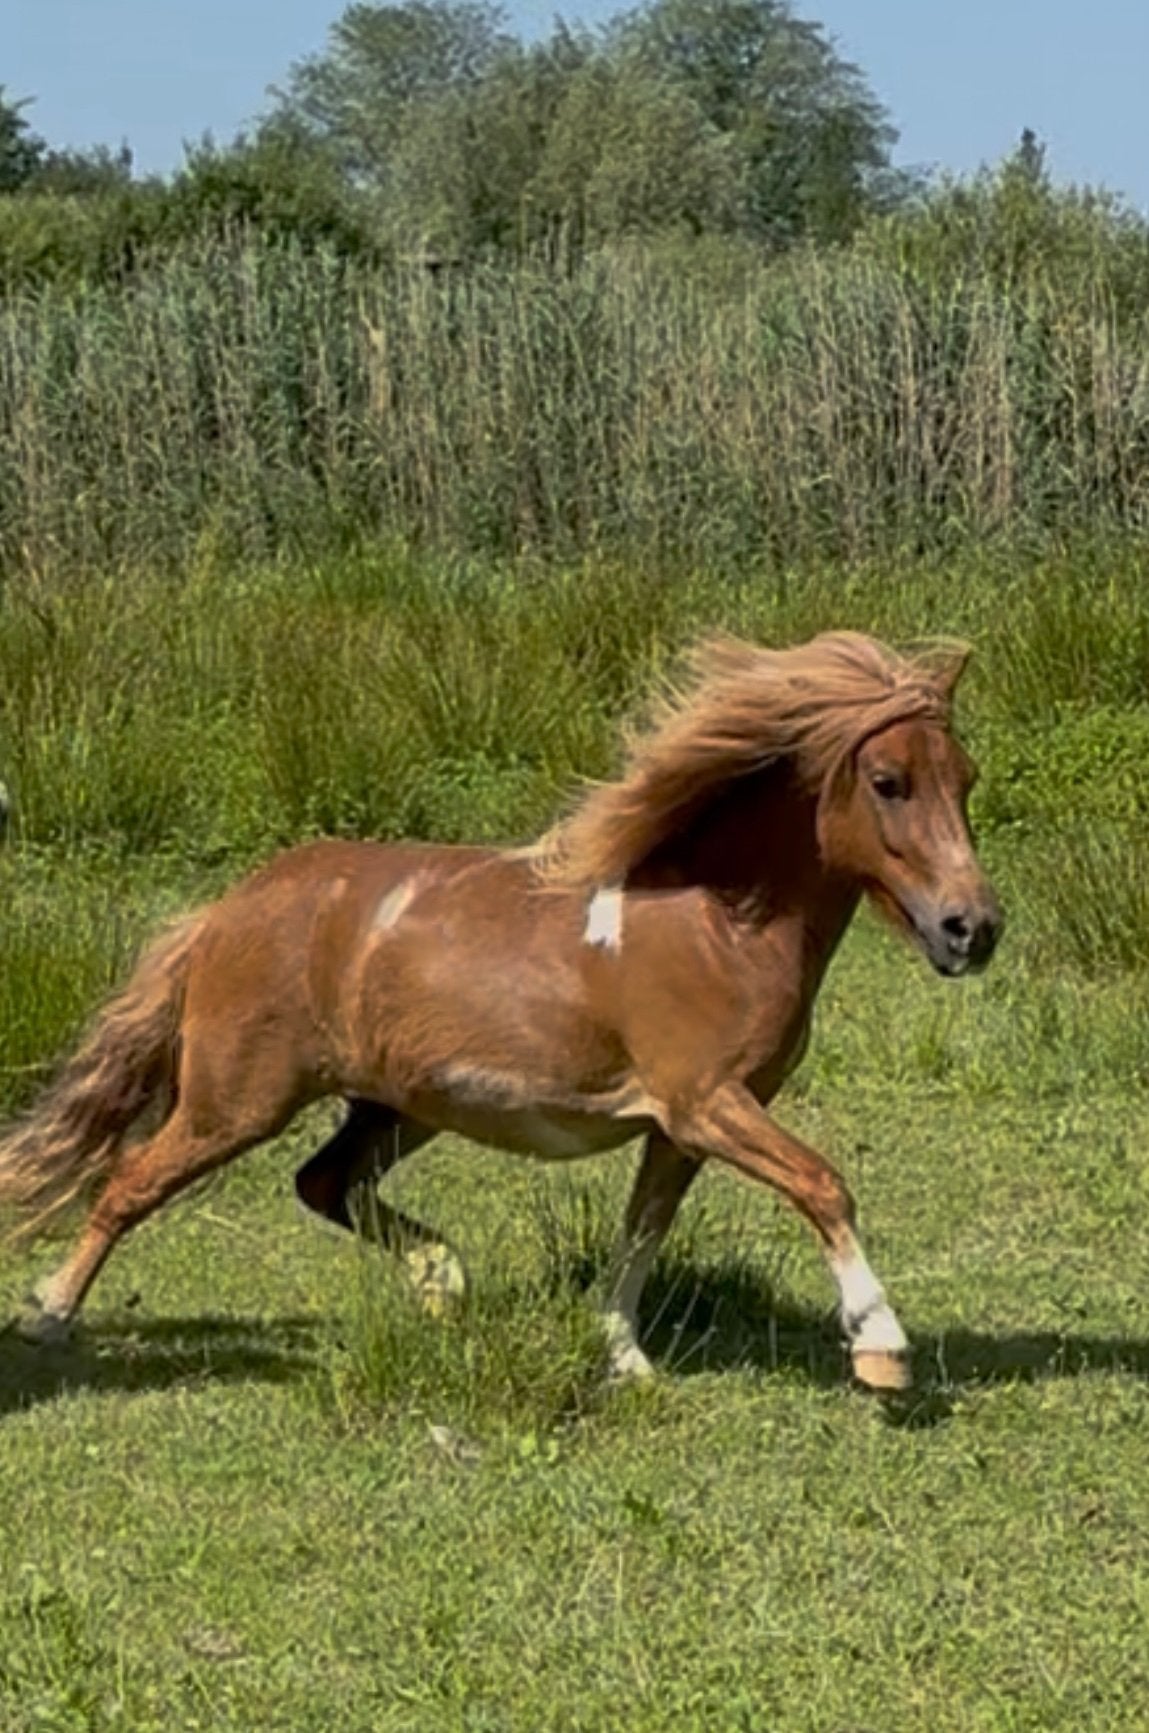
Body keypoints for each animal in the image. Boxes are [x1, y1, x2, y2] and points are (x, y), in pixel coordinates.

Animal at [0, 630, 1001, 1391]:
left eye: (965, 776)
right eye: (887, 780)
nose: (972, 927)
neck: (714, 920)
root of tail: (226, 910)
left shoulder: (679, 1125)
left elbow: (640, 1233)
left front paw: (623, 1357)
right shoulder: (705, 1104)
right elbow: (822, 1182)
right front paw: (881, 1347)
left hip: (397, 1105)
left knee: (324, 1184)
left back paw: (443, 1281)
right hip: (234, 1100)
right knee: (129, 1183)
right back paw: (49, 1314)